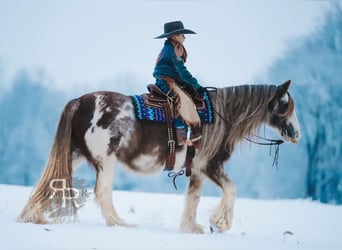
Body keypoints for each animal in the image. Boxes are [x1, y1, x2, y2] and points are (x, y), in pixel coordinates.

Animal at [18, 80, 300, 234]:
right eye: (285, 104)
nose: (296, 133)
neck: (220, 116)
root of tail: (80, 101)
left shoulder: (197, 170)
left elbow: (193, 198)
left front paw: (192, 227)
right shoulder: (209, 164)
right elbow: (231, 190)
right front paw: (219, 223)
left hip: (74, 155)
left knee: (48, 184)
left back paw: (32, 216)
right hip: (105, 161)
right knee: (103, 192)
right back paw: (120, 223)